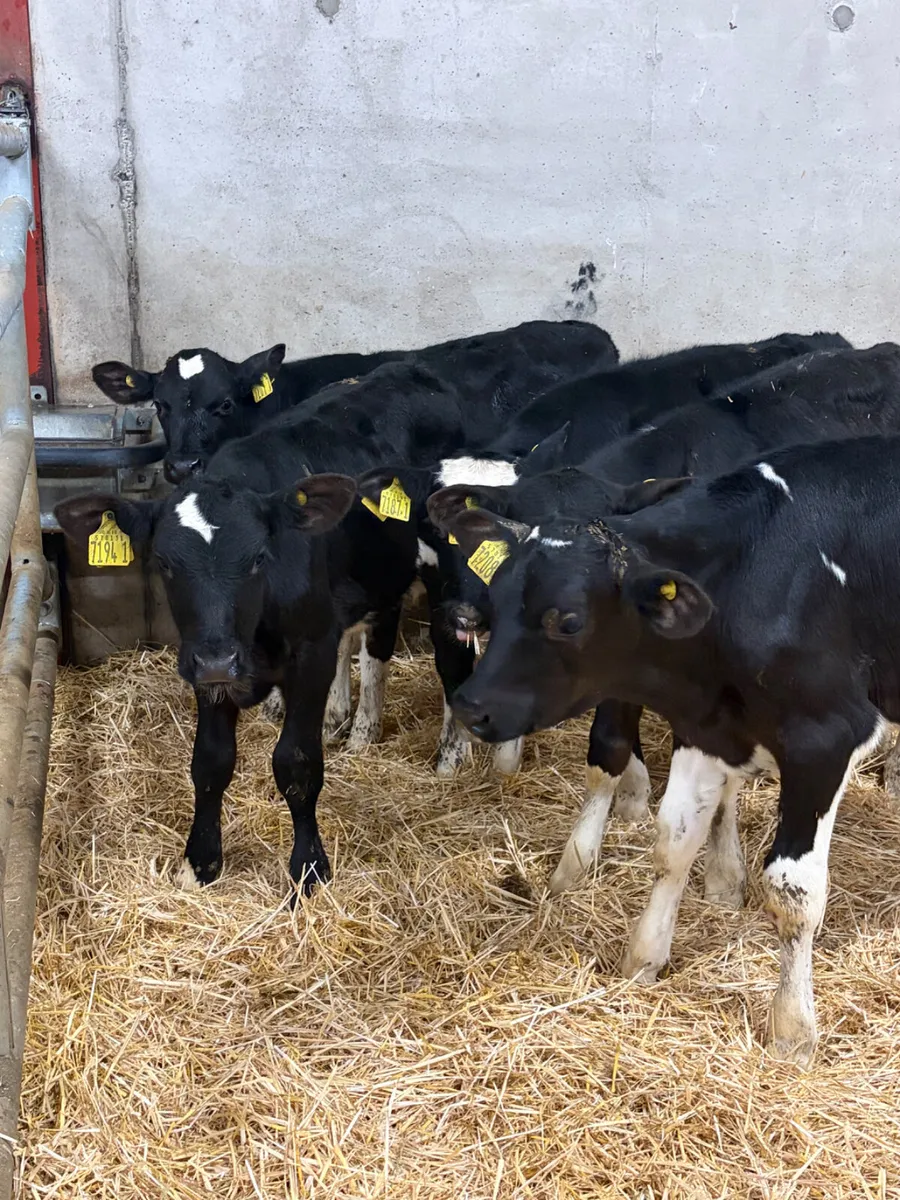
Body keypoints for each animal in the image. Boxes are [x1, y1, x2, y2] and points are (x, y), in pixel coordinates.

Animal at [432, 434, 900, 1065]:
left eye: (568, 621)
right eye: (499, 595)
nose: (470, 705)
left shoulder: (826, 736)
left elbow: (793, 889)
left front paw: (792, 1028)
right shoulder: (707, 726)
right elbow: (673, 841)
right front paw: (644, 957)